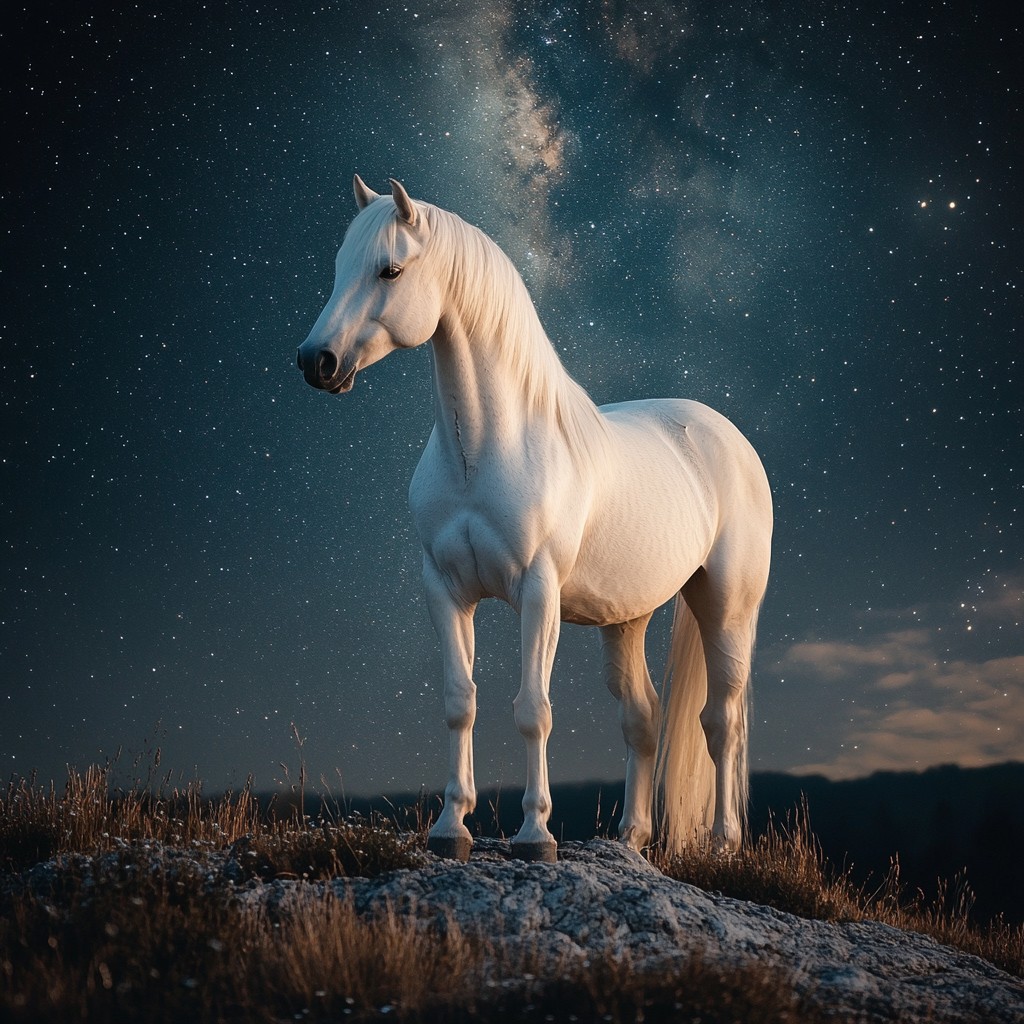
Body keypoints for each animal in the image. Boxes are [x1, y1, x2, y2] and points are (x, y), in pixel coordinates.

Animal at [296, 176, 772, 862]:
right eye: (339, 267)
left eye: (390, 270)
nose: (317, 362)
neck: (486, 449)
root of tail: (727, 435)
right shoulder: (445, 590)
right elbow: (459, 702)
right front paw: (451, 827)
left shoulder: (538, 593)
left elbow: (533, 709)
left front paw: (534, 834)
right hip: (626, 620)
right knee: (643, 718)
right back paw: (630, 838)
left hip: (726, 606)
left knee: (722, 721)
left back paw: (723, 844)